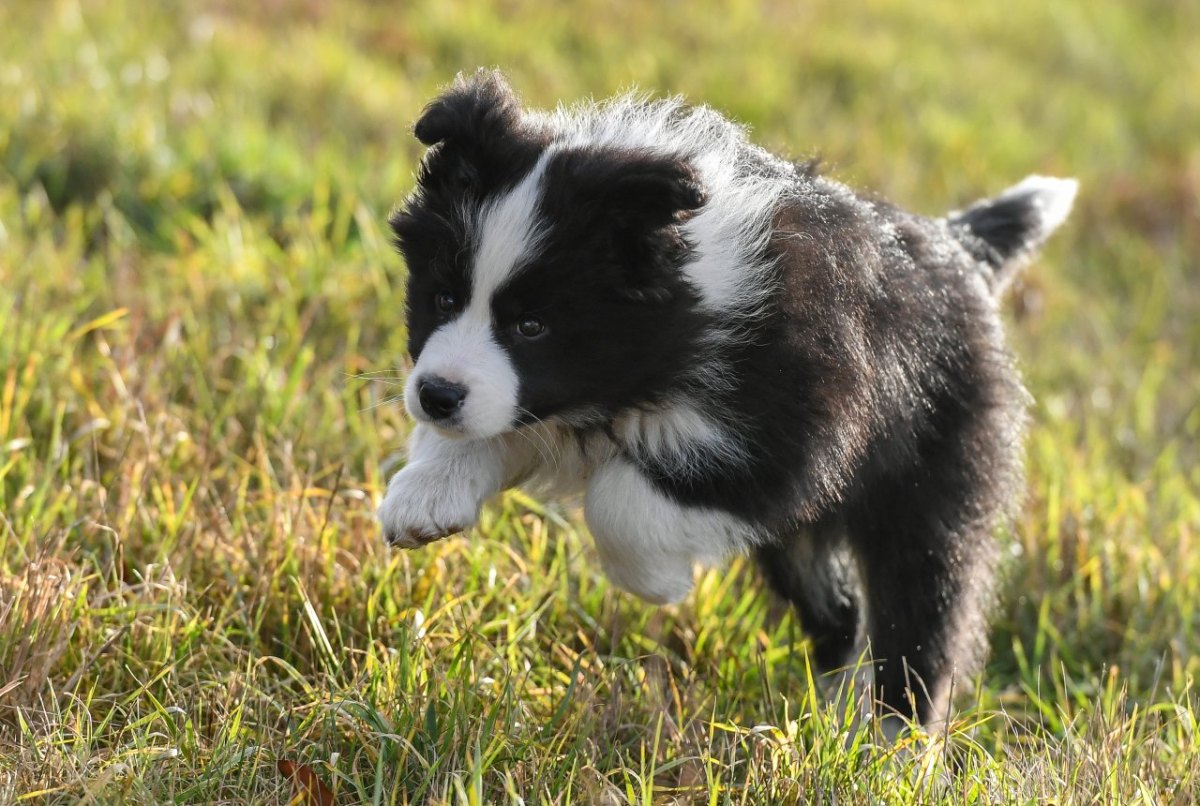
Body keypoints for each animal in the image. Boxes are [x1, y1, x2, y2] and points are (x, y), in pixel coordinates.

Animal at [376, 70, 1080, 729]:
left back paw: (893, 746)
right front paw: (424, 495)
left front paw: (656, 581)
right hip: (807, 542)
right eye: (442, 297)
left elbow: (620, 498)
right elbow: (497, 427)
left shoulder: (796, 429)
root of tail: (958, 249)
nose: (435, 396)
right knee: (841, 613)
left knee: (923, 612)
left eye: (531, 326)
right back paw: (832, 718)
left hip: (929, 480)